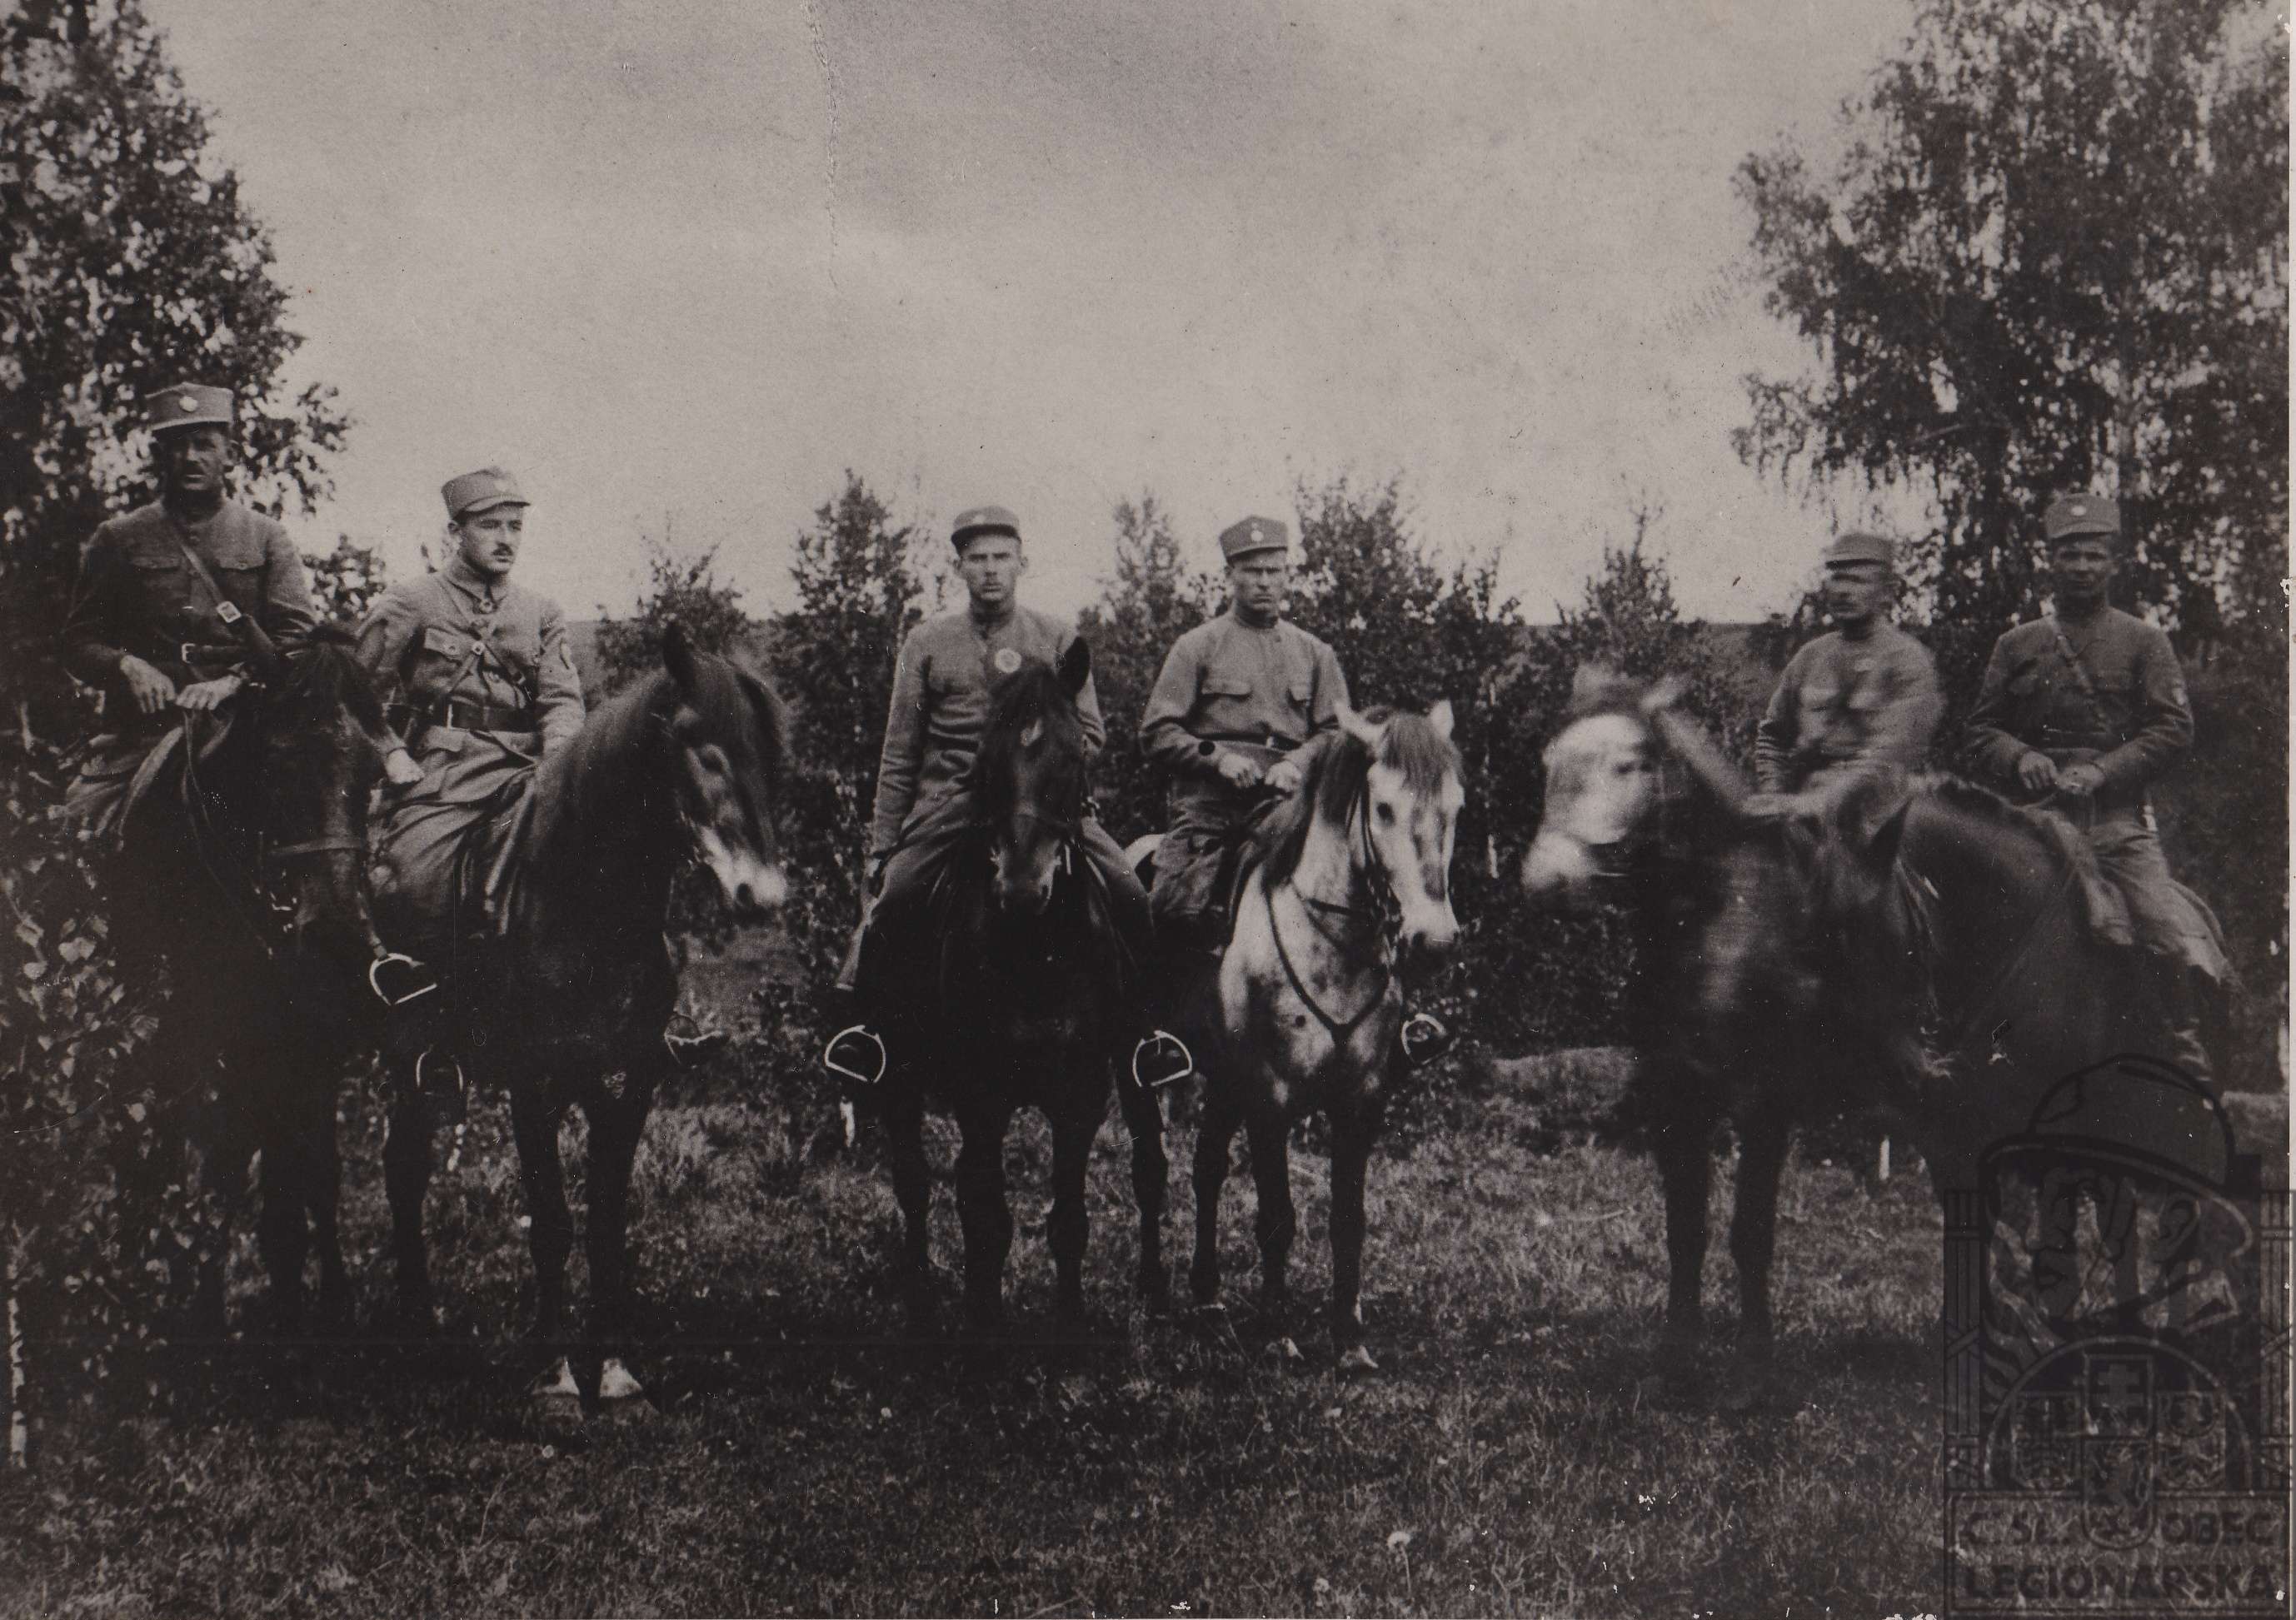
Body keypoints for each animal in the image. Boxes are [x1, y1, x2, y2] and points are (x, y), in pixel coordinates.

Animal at [93, 622, 403, 1339]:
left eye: (371, 773)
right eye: (277, 764)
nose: (338, 935)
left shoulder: (311, 1040)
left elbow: (316, 1164)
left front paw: (328, 1300)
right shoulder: (203, 1050)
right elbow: (220, 1165)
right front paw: (205, 1305)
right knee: (156, 1152)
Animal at [382, 623, 789, 1405]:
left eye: (769, 750)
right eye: (702, 746)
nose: (764, 894)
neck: (586, 900)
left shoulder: (630, 1080)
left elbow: (605, 1219)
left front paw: (616, 1364)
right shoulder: (532, 1080)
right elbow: (552, 1220)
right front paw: (556, 1370)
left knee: (404, 1163)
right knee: (385, 1168)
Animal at [873, 639, 1164, 1333]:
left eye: (1076, 753)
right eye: (987, 756)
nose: (1024, 888)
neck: (1037, 953)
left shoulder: (1081, 1093)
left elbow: (1069, 1220)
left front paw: (1070, 1322)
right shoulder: (980, 1095)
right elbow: (986, 1216)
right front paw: (983, 1319)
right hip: (900, 1075)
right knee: (914, 1179)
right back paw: (920, 1288)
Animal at [1178, 701, 1462, 1374]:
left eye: (1457, 807)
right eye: (1382, 808)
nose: (1434, 942)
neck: (1331, 945)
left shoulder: (1361, 1100)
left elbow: (1348, 1219)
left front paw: (1350, 1342)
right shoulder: (1269, 1098)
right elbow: (1278, 1218)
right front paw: (1278, 1335)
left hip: (1223, 1081)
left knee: (1207, 1168)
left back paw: (1209, 1301)